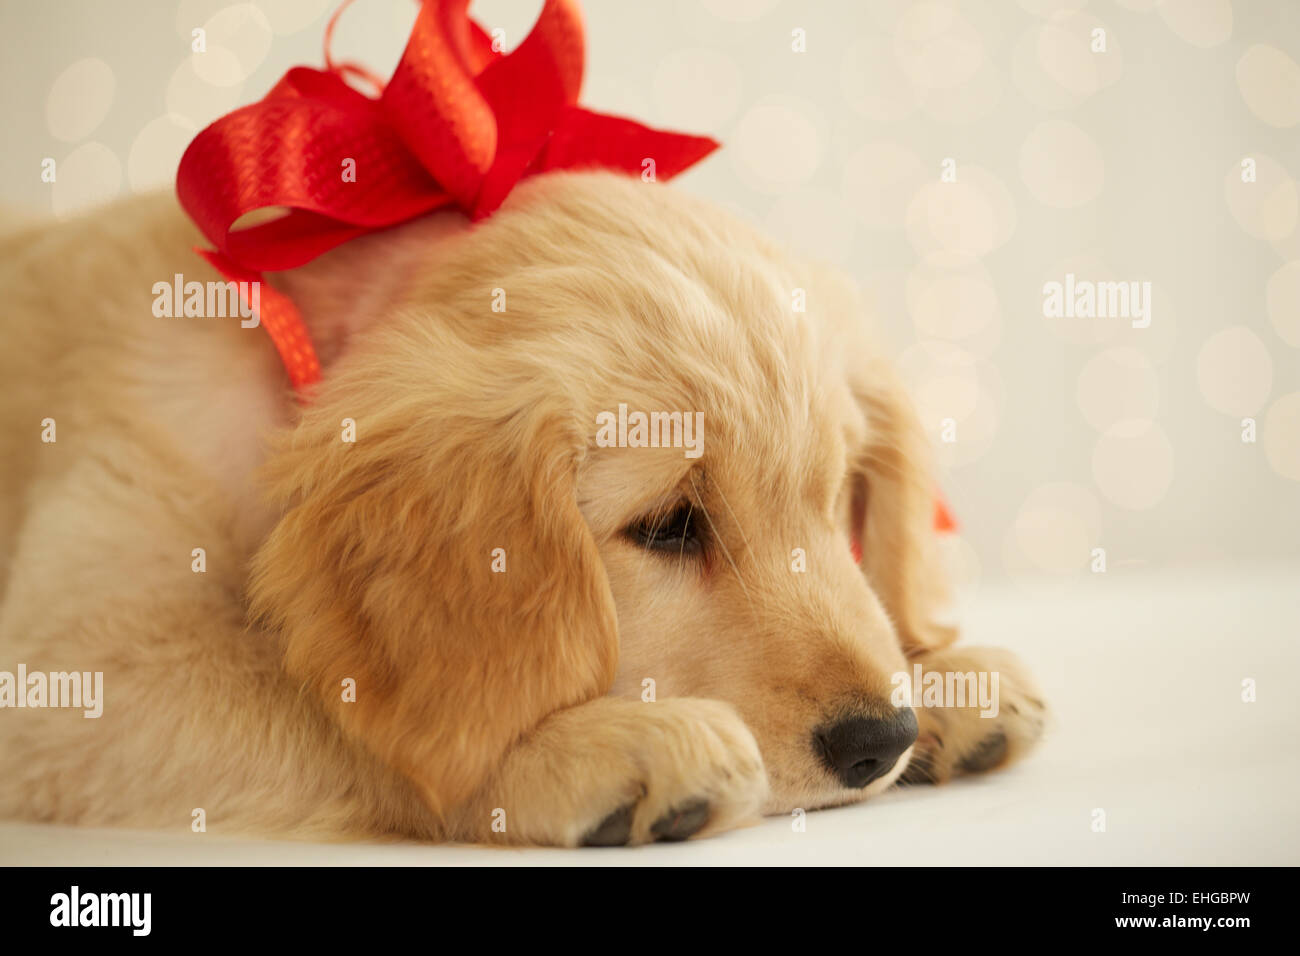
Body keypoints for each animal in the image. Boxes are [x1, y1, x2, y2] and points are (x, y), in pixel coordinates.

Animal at [0, 170, 1045, 842]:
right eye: (669, 526)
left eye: (834, 503)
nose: (882, 739)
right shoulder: (75, 667)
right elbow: (338, 711)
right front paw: (586, 749)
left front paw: (944, 676)